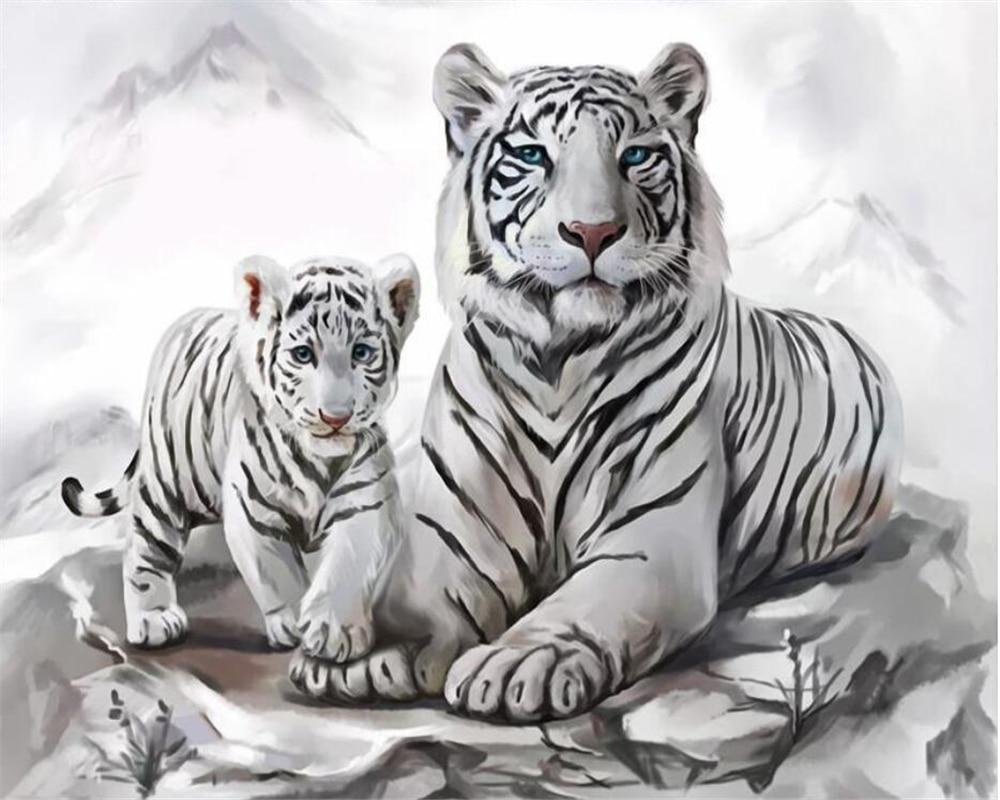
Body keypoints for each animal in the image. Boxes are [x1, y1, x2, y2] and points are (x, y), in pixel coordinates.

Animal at [61, 253, 420, 662]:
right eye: (303, 355)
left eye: (362, 352)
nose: (335, 417)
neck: (319, 460)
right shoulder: (254, 510)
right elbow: (277, 573)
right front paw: (293, 623)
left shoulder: (367, 504)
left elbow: (348, 564)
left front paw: (334, 630)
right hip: (165, 483)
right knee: (145, 546)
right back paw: (154, 619)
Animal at [290, 42, 903, 723]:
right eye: (533, 155)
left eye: (633, 156)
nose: (592, 232)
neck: (557, 361)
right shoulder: (455, 524)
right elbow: (419, 591)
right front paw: (367, 648)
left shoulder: (650, 535)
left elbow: (582, 605)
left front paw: (521, 662)